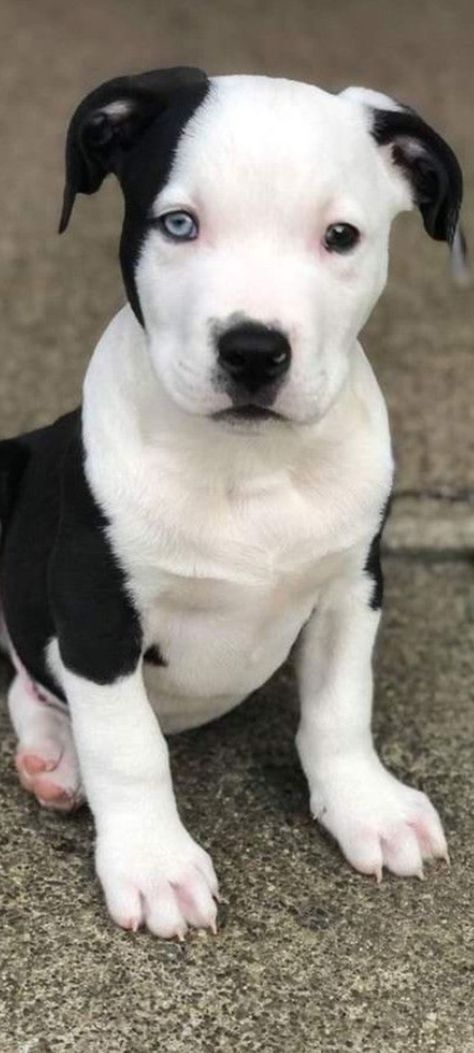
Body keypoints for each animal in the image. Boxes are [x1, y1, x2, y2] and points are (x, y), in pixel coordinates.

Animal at [0, 67, 463, 939]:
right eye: (179, 224)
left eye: (341, 236)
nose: (253, 350)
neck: (250, 464)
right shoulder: (94, 603)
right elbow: (128, 744)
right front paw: (153, 861)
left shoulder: (353, 582)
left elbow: (341, 706)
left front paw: (367, 805)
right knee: (26, 671)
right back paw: (57, 754)